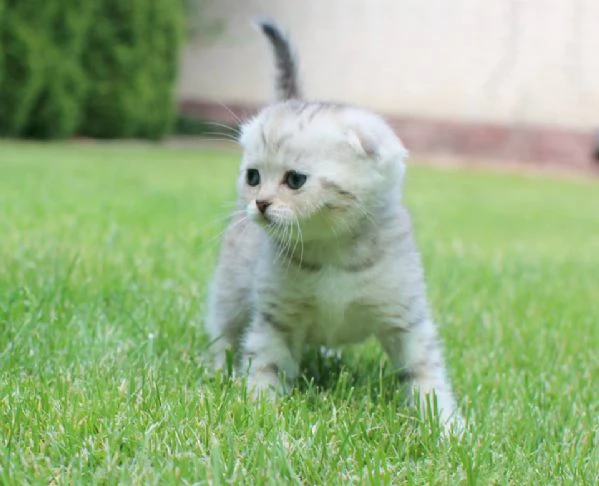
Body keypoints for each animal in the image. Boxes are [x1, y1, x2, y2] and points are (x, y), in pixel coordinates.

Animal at [204, 18, 462, 430]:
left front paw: (446, 425)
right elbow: (266, 364)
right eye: (253, 176)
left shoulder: (406, 319)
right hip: (230, 291)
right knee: (223, 331)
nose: (259, 203)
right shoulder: (276, 317)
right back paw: (215, 367)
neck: (333, 254)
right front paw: (259, 411)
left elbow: (425, 373)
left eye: (295, 180)